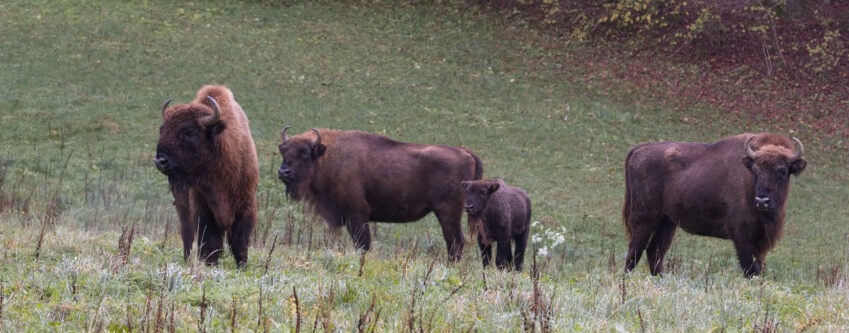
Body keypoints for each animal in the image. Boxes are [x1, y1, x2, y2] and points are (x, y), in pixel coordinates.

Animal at [153, 85, 256, 268]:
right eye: (162, 129)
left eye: (189, 132)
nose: (160, 160)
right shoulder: (203, 208)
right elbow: (209, 240)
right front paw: (209, 263)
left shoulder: (246, 204)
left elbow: (240, 241)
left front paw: (242, 266)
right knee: (187, 234)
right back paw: (187, 259)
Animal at [274, 127, 480, 260]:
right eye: (284, 152)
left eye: (304, 154)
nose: (283, 172)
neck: (328, 157)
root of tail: (464, 152)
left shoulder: (357, 214)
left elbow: (363, 244)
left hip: (447, 212)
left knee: (455, 241)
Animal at [624, 134, 808, 276]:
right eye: (755, 171)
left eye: (783, 171)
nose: (762, 201)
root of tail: (640, 149)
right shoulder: (741, 236)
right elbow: (750, 269)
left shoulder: (761, 242)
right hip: (645, 218)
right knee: (635, 250)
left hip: (667, 221)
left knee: (654, 251)